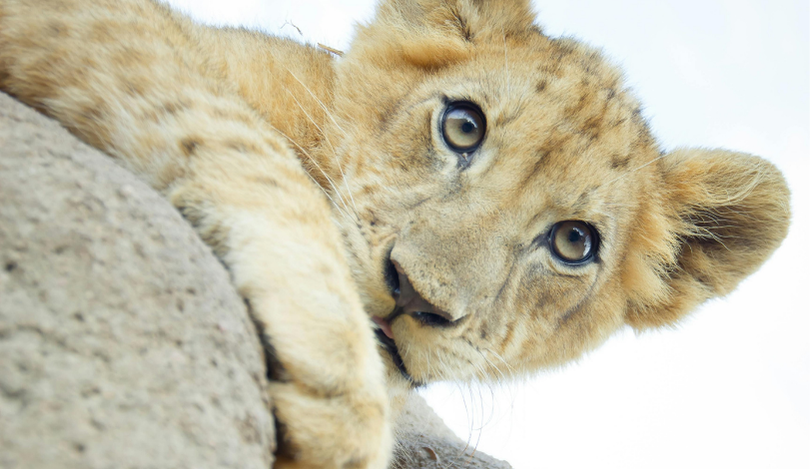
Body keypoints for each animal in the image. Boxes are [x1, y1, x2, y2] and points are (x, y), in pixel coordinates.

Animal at [0, 0, 790, 467]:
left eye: (574, 243)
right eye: (462, 125)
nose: (415, 295)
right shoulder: (99, 19)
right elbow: (245, 142)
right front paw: (339, 391)